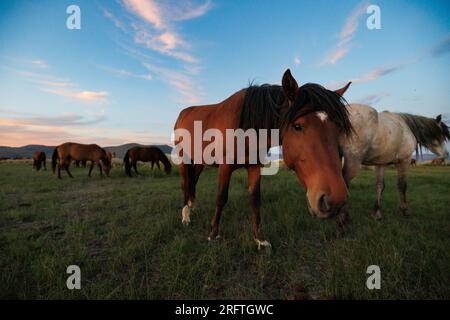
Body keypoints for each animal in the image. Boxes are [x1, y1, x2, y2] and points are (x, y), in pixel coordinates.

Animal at [174, 69, 354, 250]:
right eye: (297, 126)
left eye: (338, 128)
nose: (336, 199)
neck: (245, 125)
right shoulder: (225, 166)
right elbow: (221, 198)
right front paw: (212, 234)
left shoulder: (255, 166)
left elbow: (255, 199)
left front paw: (259, 239)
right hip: (183, 158)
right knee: (184, 183)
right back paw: (185, 216)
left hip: (199, 161)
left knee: (193, 181)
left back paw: (192, 206)